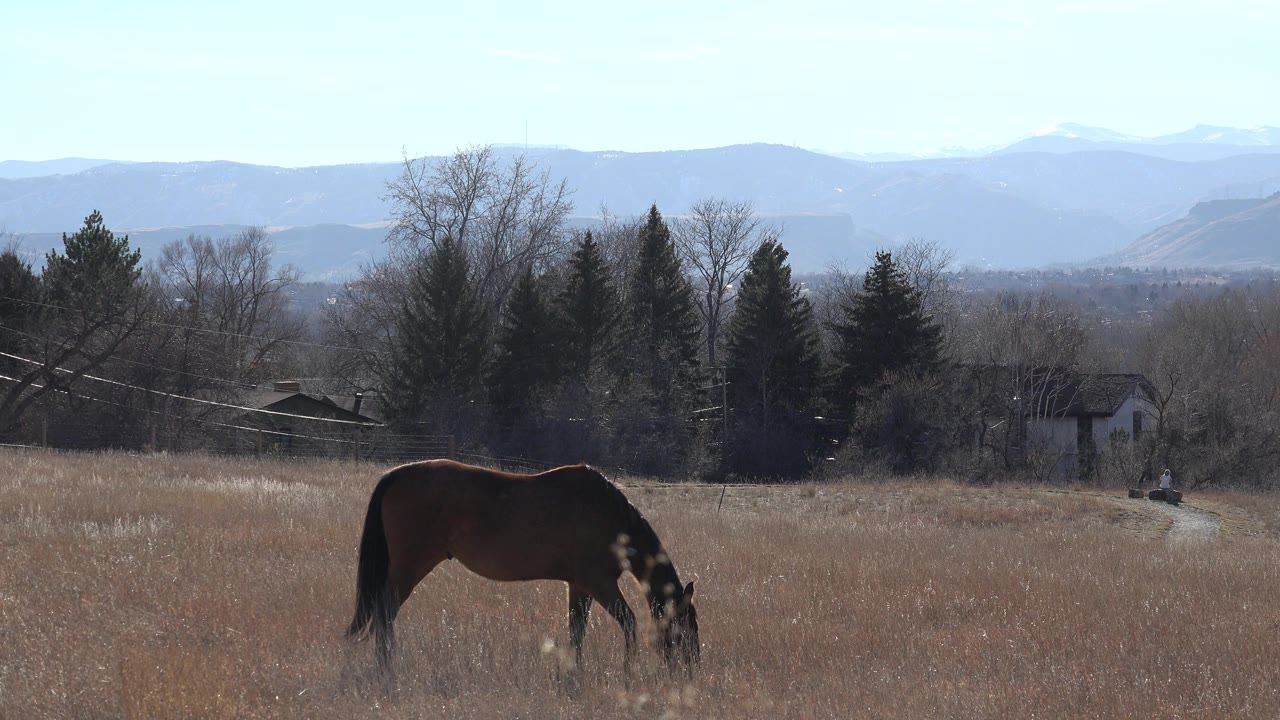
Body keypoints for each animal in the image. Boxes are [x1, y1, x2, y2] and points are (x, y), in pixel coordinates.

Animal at [346, 459, 700, 674]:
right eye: (686, 626)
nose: (691, 669)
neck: (610, 518)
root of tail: (399, 473)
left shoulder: (579, 586)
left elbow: (576, 632)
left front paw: (573, 674)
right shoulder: (599, 583)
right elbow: (628, 623)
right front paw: (627, 672)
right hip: (409, 567)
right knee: (385, 611)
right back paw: (387, 669)